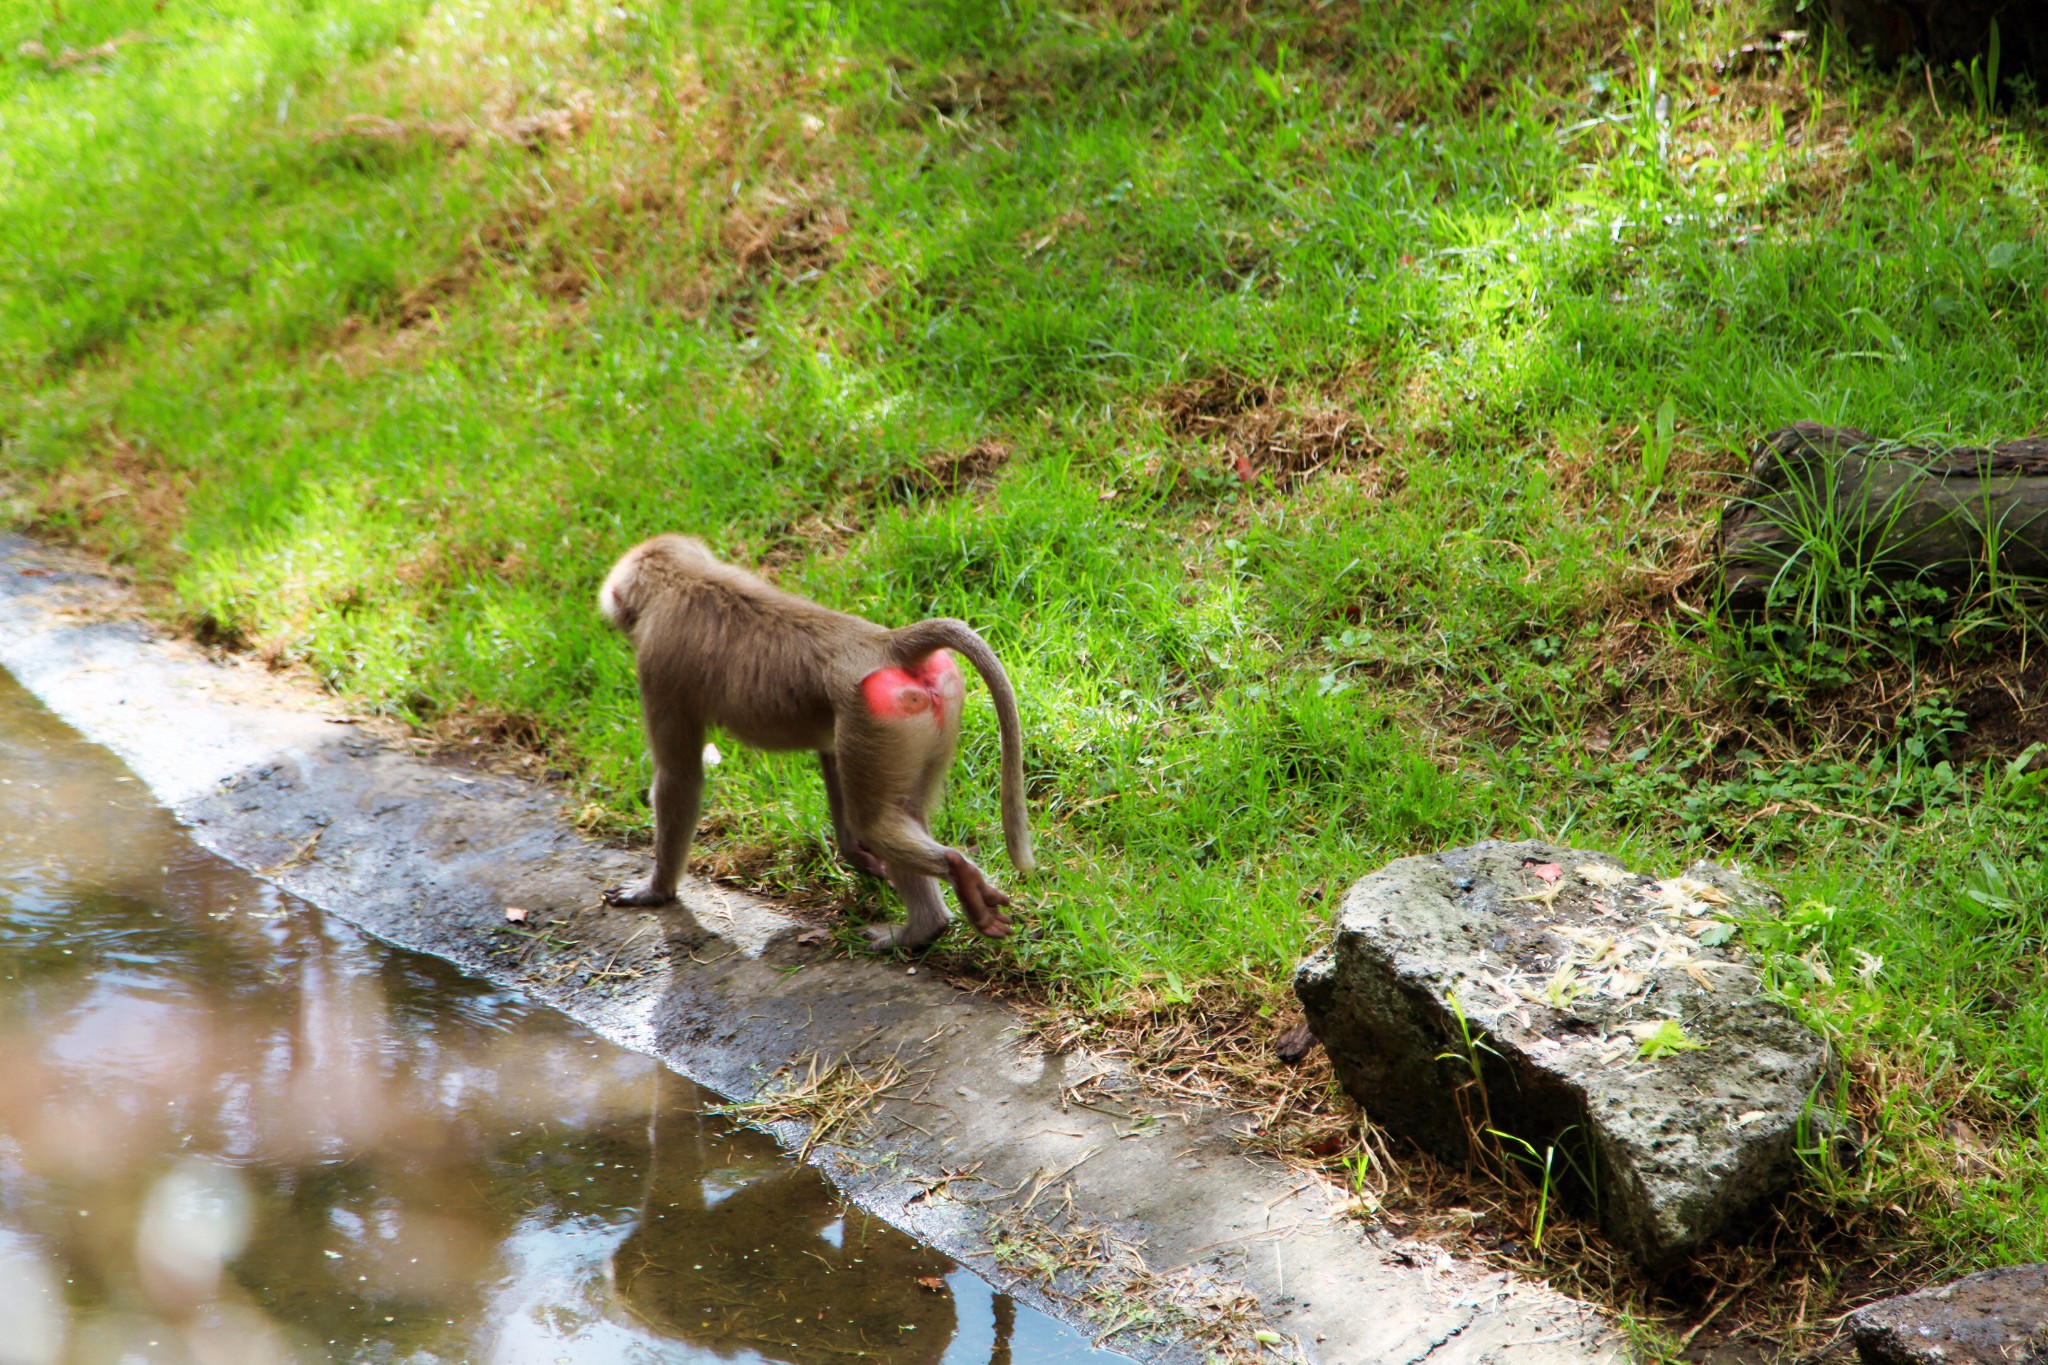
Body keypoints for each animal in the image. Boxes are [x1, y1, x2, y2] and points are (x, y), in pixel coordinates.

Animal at [598, 532, 1032, 949]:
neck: (683, 578)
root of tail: (885, 645)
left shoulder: (656, 662)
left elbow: (679, 778)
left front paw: (654, 891)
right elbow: (828, 753)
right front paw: (857, 855)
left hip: (873, 714)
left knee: (876, 822)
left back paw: (949, 885)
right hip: (917, 715)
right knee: (900, 811)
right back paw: (926, 926)